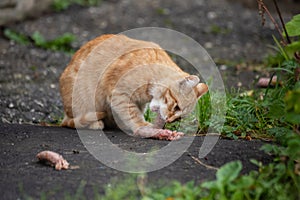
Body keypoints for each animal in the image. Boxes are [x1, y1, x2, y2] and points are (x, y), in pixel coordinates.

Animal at [59, 34, 207, 141]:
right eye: (176, 107)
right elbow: (134, 116)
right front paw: (146, 129)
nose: (169, 120)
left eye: (179, 118)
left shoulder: (137, 103)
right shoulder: (120, 95)